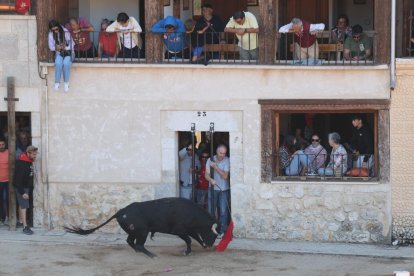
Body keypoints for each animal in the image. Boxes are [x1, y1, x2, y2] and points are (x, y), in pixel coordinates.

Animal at [63, 197, 218, 258]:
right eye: (214, 234)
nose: (211, 245)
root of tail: (121, 211)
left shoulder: (188, 230)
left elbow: (195, 237)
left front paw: (198, 247)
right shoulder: (179, 230)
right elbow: (190, 239)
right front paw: (187, 251)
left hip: (135, 232)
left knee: (130, 241)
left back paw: (140, 252)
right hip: (142, 232)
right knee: (139, 244)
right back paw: (152, 255)